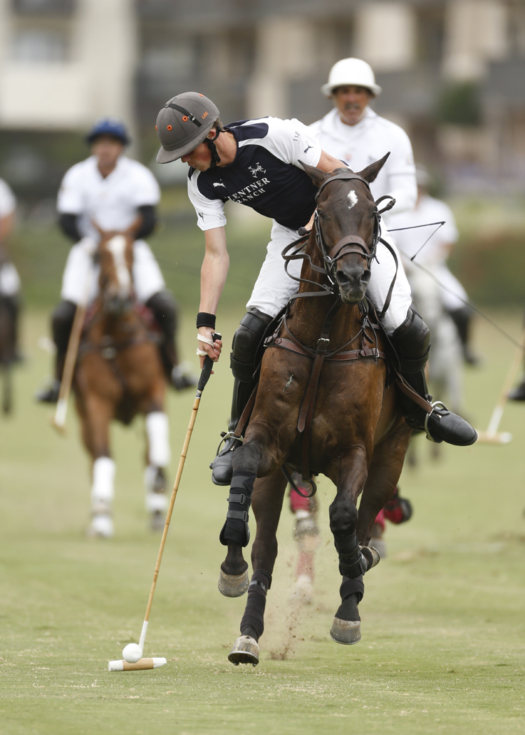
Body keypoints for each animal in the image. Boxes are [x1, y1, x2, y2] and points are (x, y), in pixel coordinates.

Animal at [74, 223, 170, 536]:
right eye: (101, 254)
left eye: (131, 253)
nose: (120, 297)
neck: (116, 334)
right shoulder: (96, 403)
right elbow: (104, 456)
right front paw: (102, 519)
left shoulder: (154, 390)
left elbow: (155, 446)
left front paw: (159, 479)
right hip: (82, 419)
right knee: (94, 459)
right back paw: (98, 513)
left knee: (148, 454)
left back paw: (157, 510)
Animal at [219, 158, 412, 664]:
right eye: (321, 213)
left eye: (373, 212)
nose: (353, 277)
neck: (324, 340)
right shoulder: (265, 443)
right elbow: (246, 471)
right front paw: (231, 562)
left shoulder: (356, 452)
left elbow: (344, 516)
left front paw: (351, 588)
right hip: (276, 477)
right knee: (266, 548)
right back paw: (248, 631)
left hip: (392, 456)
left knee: (363, 524)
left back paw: (352, 595)